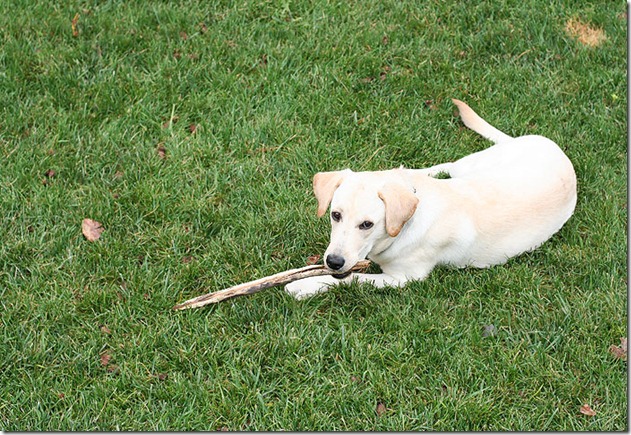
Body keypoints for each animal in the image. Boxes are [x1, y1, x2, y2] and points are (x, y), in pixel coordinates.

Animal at [285, 99, 577, 300]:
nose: (333, 261)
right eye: (335, 215)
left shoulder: (404, 278)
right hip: (472, 165)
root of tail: (553, 146)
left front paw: (304, 285)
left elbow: (351, 279)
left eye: (367, 225)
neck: (405, 225)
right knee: (440, 167)